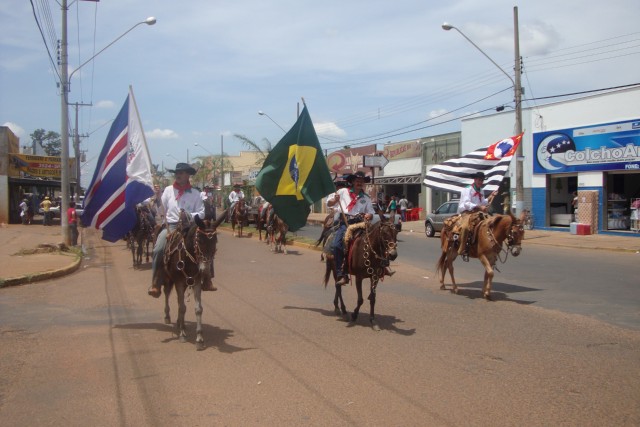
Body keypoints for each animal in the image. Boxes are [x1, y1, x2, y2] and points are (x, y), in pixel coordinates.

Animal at [161, 211, 226, 352]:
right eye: (199, 240)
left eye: (215, 241)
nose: (204, 269)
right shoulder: (179, 282)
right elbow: (182, 307)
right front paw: (182, 335)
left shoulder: (196, 281)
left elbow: (198, 309)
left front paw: (200, 339)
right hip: (169, 280)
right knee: (167, 294)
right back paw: (168, 317)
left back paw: (180, 322)